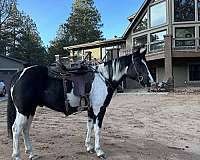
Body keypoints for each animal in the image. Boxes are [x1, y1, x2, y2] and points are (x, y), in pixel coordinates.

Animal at [6, 47, 153, 159]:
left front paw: (89, 147)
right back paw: (17, 155)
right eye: (140, 64)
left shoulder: (91, 110)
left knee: (25, 129)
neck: (104, 78)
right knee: (16, 129)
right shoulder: (100, 110)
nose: (151, 82)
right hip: (24, 110)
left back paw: (31, 153)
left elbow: (89, 126)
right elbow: (97, 129)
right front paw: (99, 151)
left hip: (30, 110)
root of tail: (19, 74)